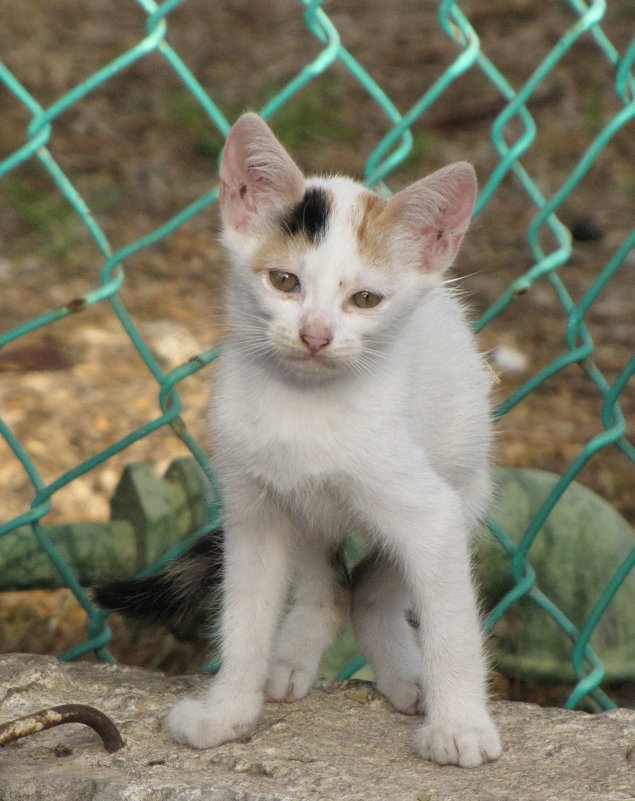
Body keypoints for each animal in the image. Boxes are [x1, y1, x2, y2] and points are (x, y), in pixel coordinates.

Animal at [105, 114, 502, 768]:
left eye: (364, 299)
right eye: (284, 281)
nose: (316, 334)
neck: (305, 407)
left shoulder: (431, 512)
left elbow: (452, 625)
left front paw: (461, 727)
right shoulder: (252, 511)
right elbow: (243, 617)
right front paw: (227, 714)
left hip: (468, 481)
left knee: (371, 586)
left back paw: (408, 676)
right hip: (305, 509)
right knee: (333, 582)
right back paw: (291, 657)